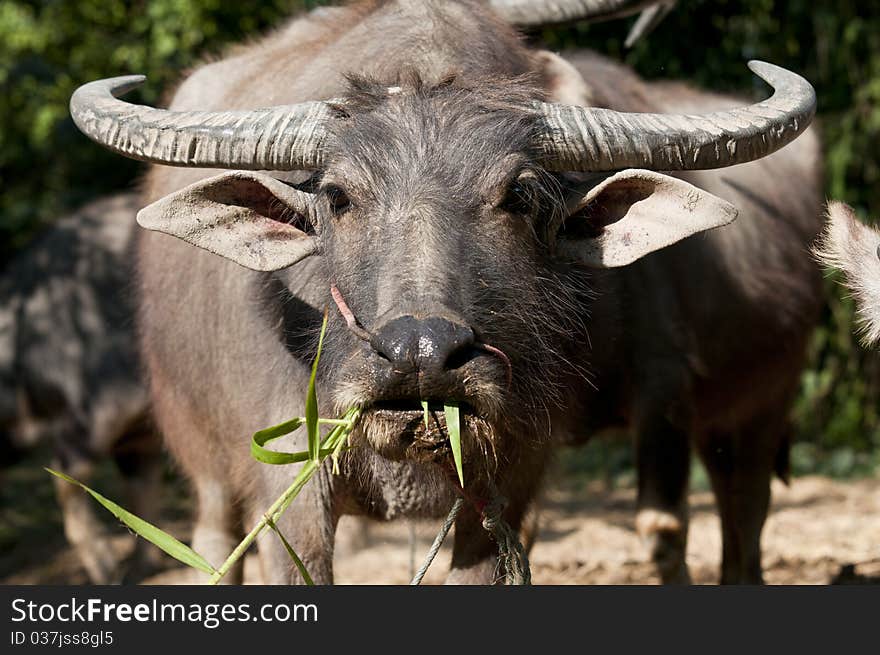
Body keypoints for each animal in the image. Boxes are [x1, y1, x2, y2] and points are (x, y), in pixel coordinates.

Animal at [72, 0, 820, 584]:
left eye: (520, 196)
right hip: (200, 452)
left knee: (743, 501)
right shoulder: (288, 488)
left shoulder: (520, 473)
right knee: (211, 542)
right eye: (337, 197)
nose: (421, 353)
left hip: (761, 401)